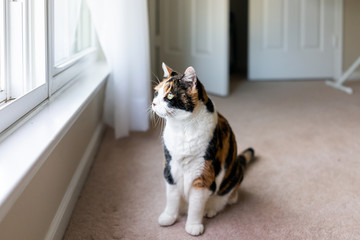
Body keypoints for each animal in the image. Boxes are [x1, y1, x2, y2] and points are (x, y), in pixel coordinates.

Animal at [151, 62, 253, 235]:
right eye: (156, 92)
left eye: (170, 96)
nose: (154, 103)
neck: (182, 128)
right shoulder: (170, 167)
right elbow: (172, 197)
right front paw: (169, 216)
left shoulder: (202, 173)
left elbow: (196, 204)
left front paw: (193, 225)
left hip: (234, 174)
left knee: (229, 196)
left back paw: (211, 209)